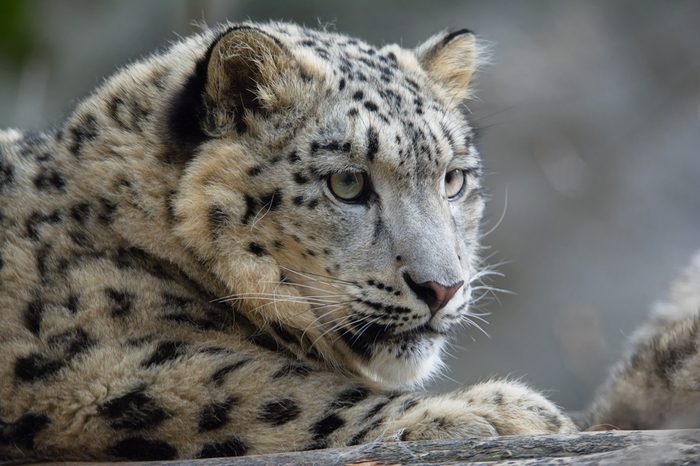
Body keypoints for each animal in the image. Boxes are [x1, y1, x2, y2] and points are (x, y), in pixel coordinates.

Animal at [0, 20, 697, 461]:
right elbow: (268, 393)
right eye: (346, 182)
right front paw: (502, 413)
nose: (443, 287)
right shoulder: (92, 367)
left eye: (453, 179)